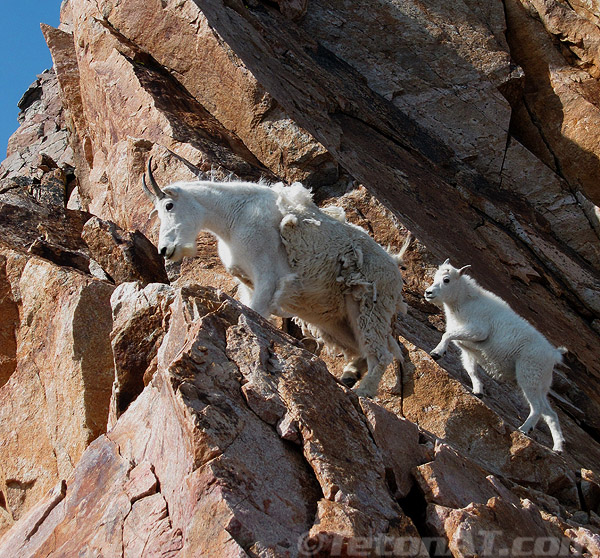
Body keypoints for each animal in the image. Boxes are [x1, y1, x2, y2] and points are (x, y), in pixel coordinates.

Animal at [143, 160, 410, 400]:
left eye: (169, 205)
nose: (165, 250)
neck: (233, 218)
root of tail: (396, 273)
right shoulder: (247, 283)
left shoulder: (267, 277)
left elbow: (255, 312)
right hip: (335, 320)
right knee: (360, 348)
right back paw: (349, 375)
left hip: (369, 305)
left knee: (381, 353)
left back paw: (364, 390)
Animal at [424, 262, 564, 456]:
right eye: (435, 276)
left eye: (446, 280)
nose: (428, 293)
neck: (464, 302)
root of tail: (553, 355)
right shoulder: (468, 350)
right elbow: (471, 370)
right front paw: (478, 391)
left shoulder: (477, 331)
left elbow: (447, 335)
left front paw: (437, 353)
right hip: (540, 383)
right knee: (550, 414)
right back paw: (557, 447)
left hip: (528, 374)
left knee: (537, 408)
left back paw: (524, 429)